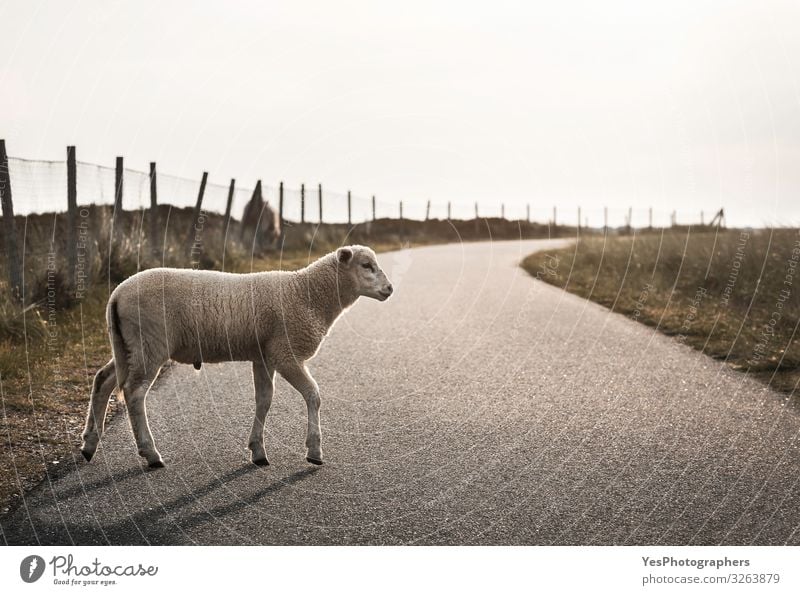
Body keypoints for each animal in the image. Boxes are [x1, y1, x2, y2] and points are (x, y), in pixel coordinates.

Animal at [81, 244, 394, 468]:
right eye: (366, 265)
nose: (390, 289)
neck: (307, 294)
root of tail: (116, 295)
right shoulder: (285, 353)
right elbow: (313, 395)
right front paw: (314, 450)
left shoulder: (264, 356)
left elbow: (264, 400)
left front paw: (258, 451)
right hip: (150, 344)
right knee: (134, 394)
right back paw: (151, 453)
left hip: (128, 346)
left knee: (103, 381)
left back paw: (89, 445)